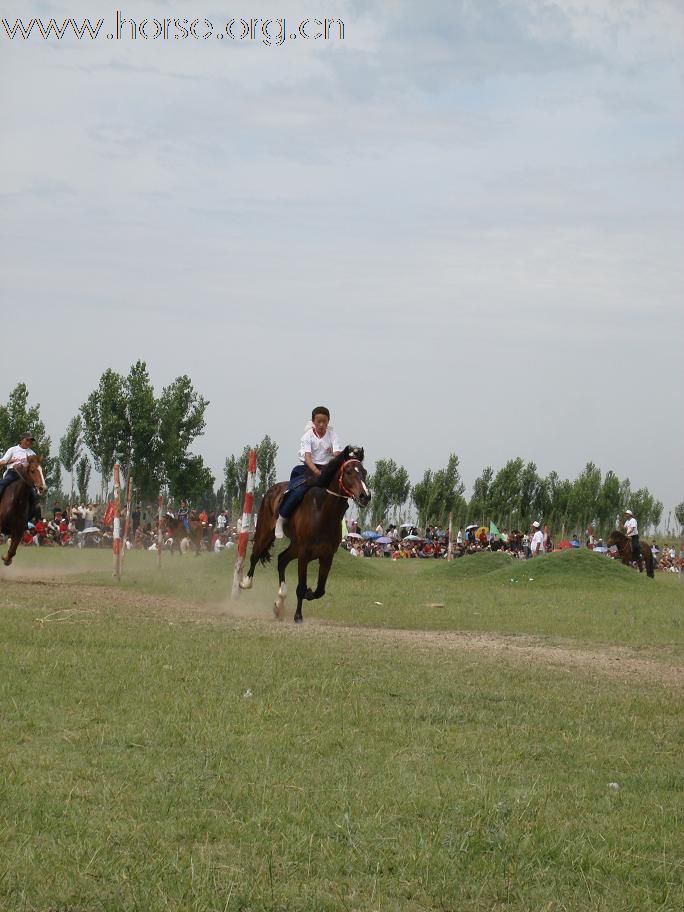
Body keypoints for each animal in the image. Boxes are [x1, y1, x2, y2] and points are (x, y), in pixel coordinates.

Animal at [239, 446, 372, 624]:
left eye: (364, 472)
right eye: (349, 471)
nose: (365, 496)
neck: (322, 512)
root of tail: (272, 490)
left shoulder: (327, 555)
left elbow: (320, 590)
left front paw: (309, 594)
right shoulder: (304, 553)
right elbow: (301, 587)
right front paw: (298, 616)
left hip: (295, 546)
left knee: (282, 559)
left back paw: (279, 602)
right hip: (266, 531)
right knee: (256, 554)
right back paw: (246, 582)